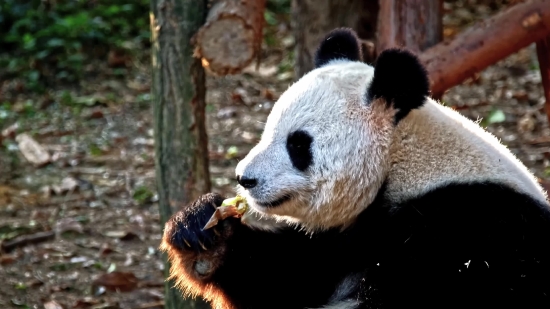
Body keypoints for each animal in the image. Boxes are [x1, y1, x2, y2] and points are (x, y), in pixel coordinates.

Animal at [162, 27, 550, 308]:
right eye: (268, 130)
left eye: (298, 144)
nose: (246, 179)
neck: (402, 161)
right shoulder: (347, 238)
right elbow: (291, 277)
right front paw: (204, 233)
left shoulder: (471, 234)